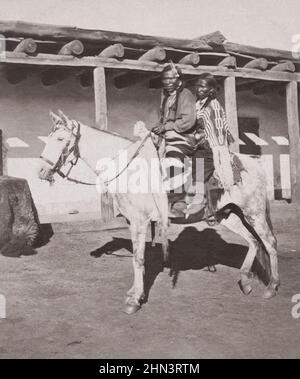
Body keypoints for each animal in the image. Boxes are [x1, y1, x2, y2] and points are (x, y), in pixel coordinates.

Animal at [38, 110, 280, 314]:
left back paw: (271, 287)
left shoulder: (140, 221)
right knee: (253, 242)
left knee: (269, 242)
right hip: (228, 214)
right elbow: (138, 258)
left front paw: (135, 300)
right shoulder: (132, 221)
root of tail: (254, 165)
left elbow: (138, 259)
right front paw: (135, 292)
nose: (41, 171)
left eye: (60, 139)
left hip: (254, 212)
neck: (130, 169)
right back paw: (245, 281)